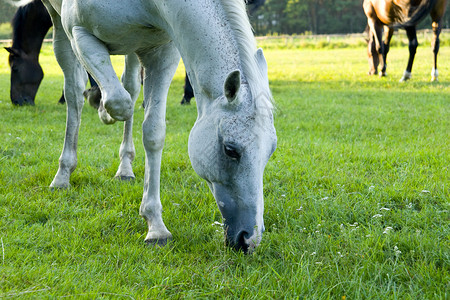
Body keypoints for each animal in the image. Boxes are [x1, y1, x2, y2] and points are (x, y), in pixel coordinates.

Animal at [38, 0, 276, 253]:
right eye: (230, 150)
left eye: (270, 152)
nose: (249, 239)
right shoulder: (79, 33)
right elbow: (118, 103)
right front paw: (102, 107)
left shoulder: (162, 52)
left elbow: (152, 131)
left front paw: (155, 226)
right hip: (60, 26)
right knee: (75, 92)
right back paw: (63, 174)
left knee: (130, 86)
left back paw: (124, 168)